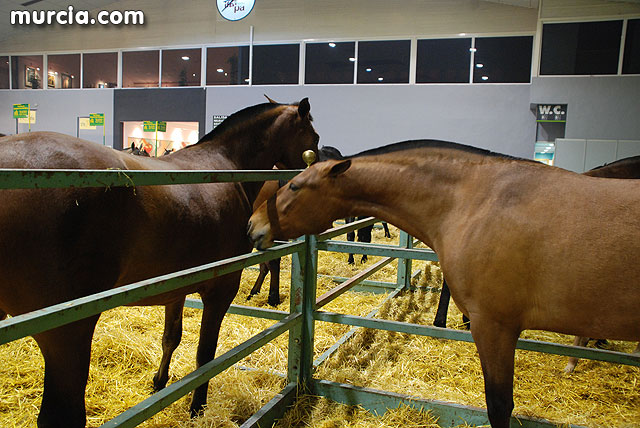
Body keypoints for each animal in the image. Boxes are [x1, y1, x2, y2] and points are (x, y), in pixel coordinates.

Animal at [0, 98, 320, 426]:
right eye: (315, 136)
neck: (226, 166)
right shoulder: (221, 288)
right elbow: (205, 354)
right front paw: (197, 407)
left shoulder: (175, 287)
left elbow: (171, 338)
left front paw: (159, 382)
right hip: (67, 334)